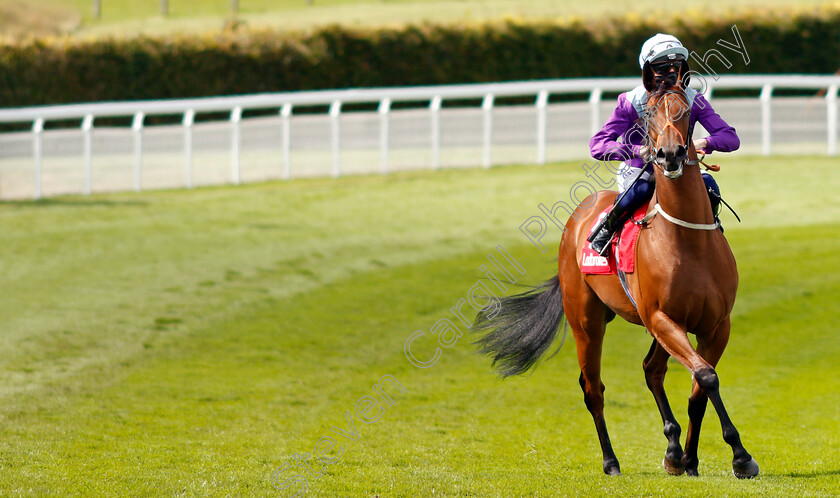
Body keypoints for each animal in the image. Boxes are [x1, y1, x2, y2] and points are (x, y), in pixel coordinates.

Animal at [472, 80, 760, 478]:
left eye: (687, 110)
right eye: (649, 113)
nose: (669, 154)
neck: (690, 242)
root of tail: (577, 219)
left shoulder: (715, 325)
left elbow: (699, 387)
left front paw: (691, 458)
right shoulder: (660, 317)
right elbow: (706, 377)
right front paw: (741, 456)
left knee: (652, 370)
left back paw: (673, 451)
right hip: (587, 321)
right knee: (593, 388)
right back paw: (611, 461)